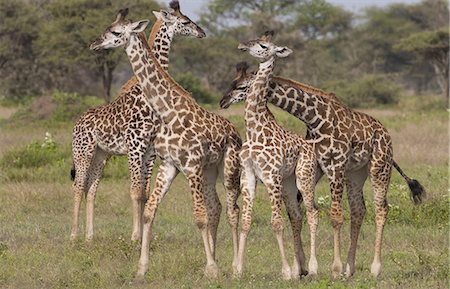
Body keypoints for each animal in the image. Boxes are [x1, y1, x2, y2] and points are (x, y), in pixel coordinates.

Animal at [70, 1, 206, 242]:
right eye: (185, 21)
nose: (201, 32)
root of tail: (77, 123)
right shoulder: (135, 146)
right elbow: (135, 191)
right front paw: (135, 237)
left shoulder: (150, 149)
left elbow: (144, 192)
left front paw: (145, 236)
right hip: (83, 152)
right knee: (78, 187)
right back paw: (74, 236)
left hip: (101, 154)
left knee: (91, 188)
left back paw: (90, 236)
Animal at [89, 8, 243, 280]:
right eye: (107, 28)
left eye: (116, 32)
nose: (95, 43)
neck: (167, 112)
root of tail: (235, 132)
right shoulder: (169, 165)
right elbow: (150, 210)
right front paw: (141, 268)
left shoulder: (190, 165)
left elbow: (199, 217)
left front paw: (212, 268)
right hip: (209, 170)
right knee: (217, 207)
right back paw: (218, 259)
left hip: (228, 168)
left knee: (232, 211)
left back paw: (235, 268)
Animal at [220, 61, 424, 276]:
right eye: (232, 82)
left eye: (242, 86)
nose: (223, 101)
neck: (314, 118)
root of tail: (386, 133)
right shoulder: (315, 167)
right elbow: (297, 212)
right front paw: (299, 267)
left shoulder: (335, 165)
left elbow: (335, 216)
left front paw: (334, 268)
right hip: (355, 174)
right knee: (358, 210)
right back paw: (350, 268)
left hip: (379, 168)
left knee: (381, 209)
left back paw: (374, 268)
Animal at [232, 31, 320, 280]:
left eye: (264, 46)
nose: (242, 45)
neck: (254, 129)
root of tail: (310, 147)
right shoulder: (248, 175)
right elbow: (246, 222)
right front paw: (237, 269)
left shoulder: (271, 176)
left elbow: (276, 222)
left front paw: (286, 272)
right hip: (289, 182)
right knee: (297, 215)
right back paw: (301, 268)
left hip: (304, 177)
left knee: (313, 213)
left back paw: (315, 268)